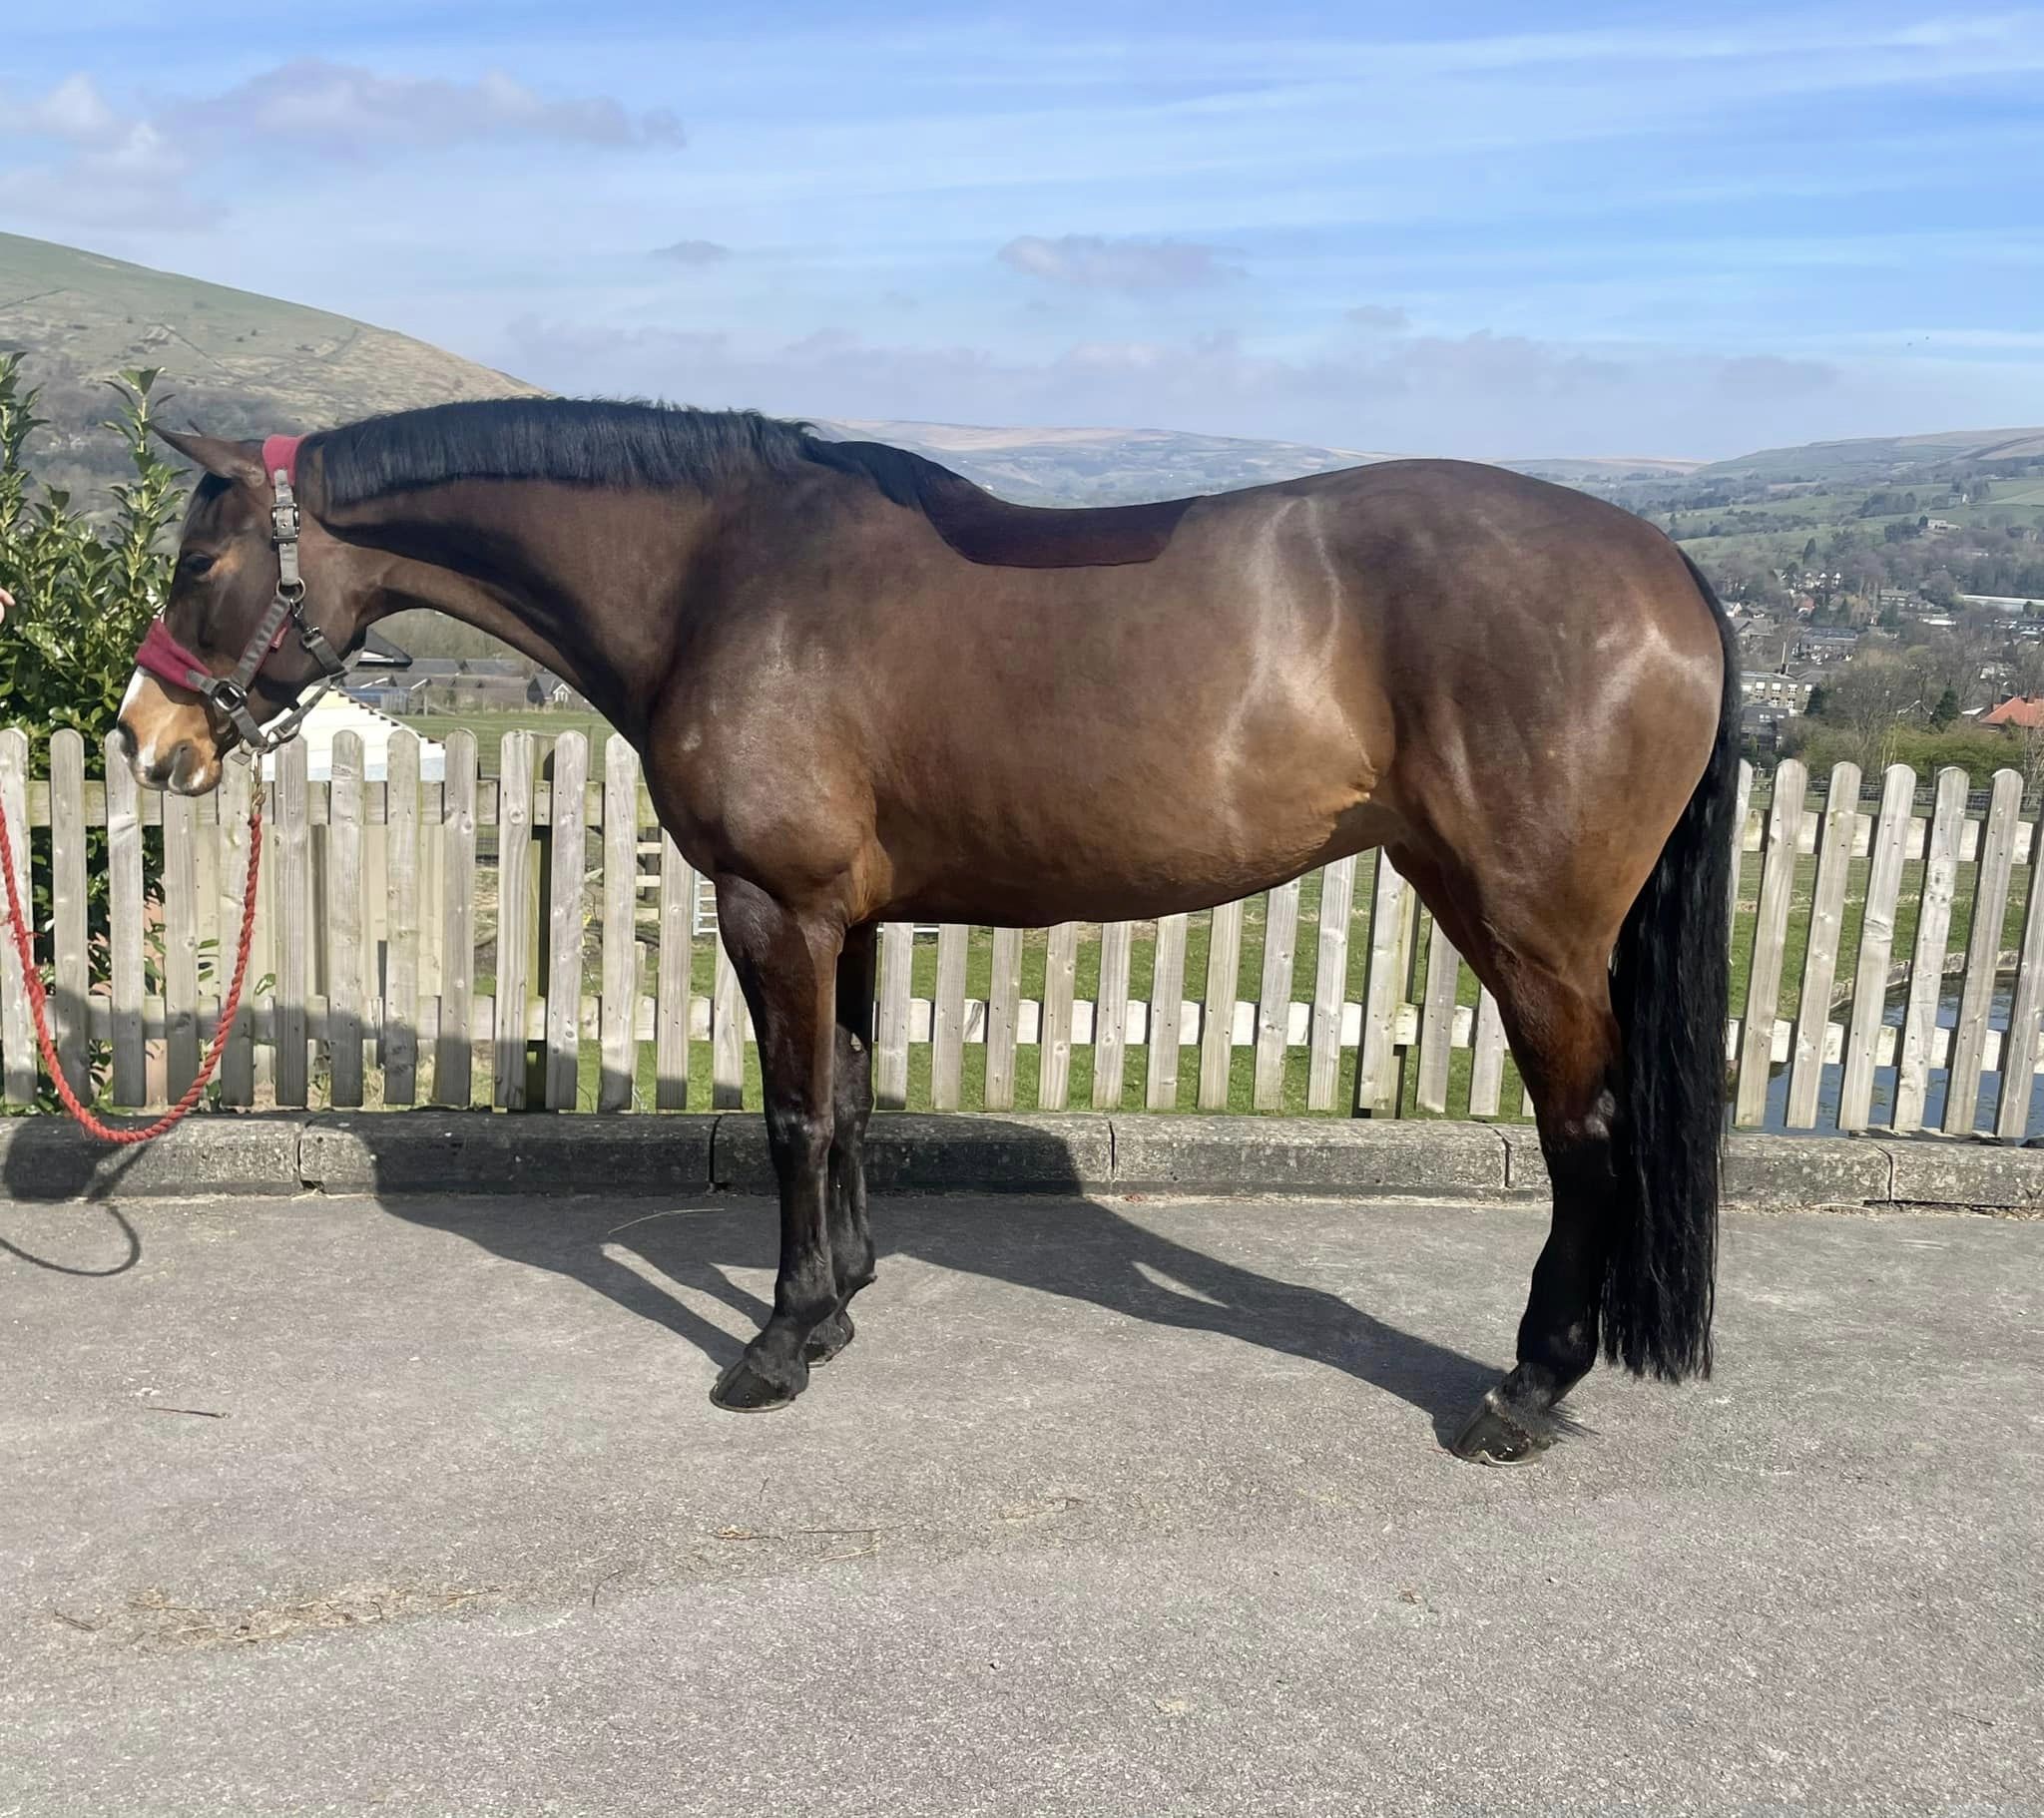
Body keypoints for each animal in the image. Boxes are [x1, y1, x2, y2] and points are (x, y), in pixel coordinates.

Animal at [117, 397, 1737, 1465]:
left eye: (198, 567)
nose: (147, 743)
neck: (722, 574)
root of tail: (1664, 572)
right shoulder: (844, 915)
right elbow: (842, 1102)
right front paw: (837, 1305)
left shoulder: (768, 902)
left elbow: (788, 1113)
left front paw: (774, 1347)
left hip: (1525, 930)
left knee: (1588, 1135)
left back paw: (1523, 1392)